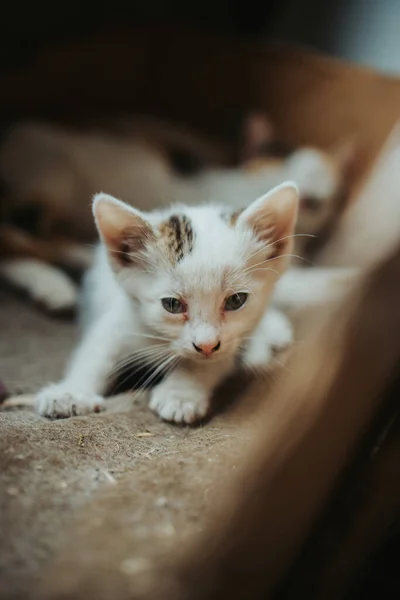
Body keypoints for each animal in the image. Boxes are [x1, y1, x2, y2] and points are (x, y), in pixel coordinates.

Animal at [37, 182, 298, 422]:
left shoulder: (231, 342)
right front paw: (70, 393)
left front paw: (181, 393)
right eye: (172, 304)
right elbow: (96, 352)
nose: (206, 345)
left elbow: (211, 361)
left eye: (236, 300)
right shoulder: (122, 318)